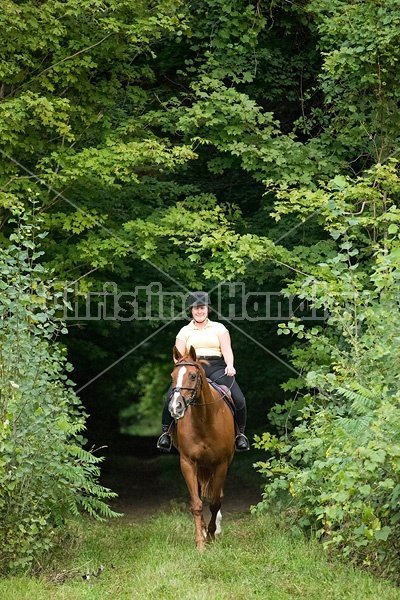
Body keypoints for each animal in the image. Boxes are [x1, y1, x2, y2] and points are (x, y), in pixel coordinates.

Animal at [168, 344, 236, 552]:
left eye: (192, 376)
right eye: (172, 376)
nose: (175, 407)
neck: (203, 419)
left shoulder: (221, 464)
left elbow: (214, 502)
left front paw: (213, 534)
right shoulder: (188, 463)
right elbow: (197, 504)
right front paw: (201, 541)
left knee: (217, 495)